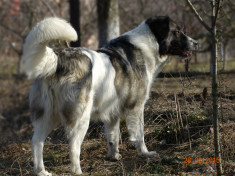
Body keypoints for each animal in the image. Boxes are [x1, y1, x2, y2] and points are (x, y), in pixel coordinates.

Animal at [23, 15, 197, 175]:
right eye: (177, 31)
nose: (196, 43)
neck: (149, 44)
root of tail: (59, 59)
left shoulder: (112, 113)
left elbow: (113, 136)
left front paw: (113, 156)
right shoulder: (136, 107)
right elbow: (139, 134)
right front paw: (145, 153)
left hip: (47, 116)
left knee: (37, 142)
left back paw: (41, 171)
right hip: (80, 118)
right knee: (73, 146)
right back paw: (77, 171)